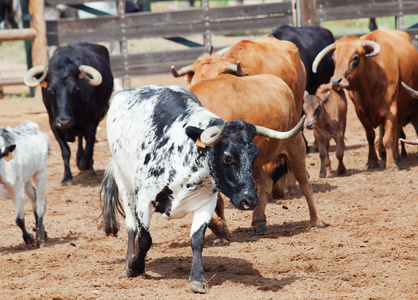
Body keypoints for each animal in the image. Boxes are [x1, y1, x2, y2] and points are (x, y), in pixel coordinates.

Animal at [25, 41, 113, 184]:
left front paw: (86, 166)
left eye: (75, 89)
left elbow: (89, 148)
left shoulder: (91, 123)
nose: (64, 120)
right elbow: (65, 151)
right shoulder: (54, 125)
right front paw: (67, 177)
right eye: (50, 90)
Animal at [101, 85, 304, 292]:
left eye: (254, 156)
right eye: (227, 157)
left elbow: (197, 240)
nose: (250, 200)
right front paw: (134, 267)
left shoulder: (205, 203)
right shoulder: (143, 201)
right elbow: (144, 239)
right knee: (131, 227)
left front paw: (197, 278)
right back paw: (128, 262)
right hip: (125, 185)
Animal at [189, 73, 324, 237]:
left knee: (305, 182)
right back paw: (259, 219)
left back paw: (316, 220)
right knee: (266, 182)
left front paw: (221, 230)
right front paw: (222, 230)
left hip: (295, 147)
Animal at [312, 29, 418, 172]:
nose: (335, 81)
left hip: (400, 107)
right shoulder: (360, 111)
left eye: (355, 58)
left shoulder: (391, 109)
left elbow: (388, 137)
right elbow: (370, 136)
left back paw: (396, 155)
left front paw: (391, 164)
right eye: (334, 59)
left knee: (396, 130)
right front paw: (372, 161)